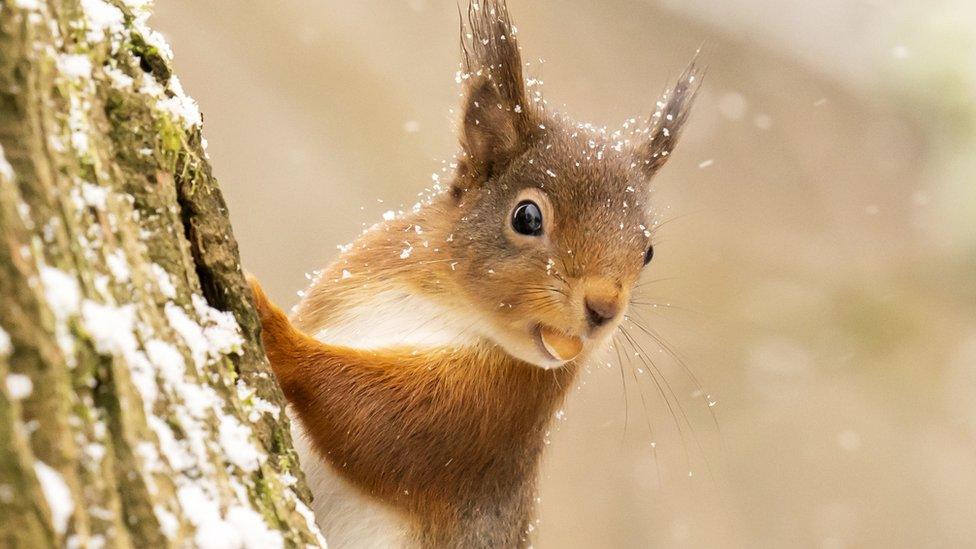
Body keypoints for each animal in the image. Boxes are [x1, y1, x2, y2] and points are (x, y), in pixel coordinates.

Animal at [248, 2, 696, 544]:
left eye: (647, 252)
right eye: (527, 217)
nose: (604, 307)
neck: (446, 304)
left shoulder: (493, 417)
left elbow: (380, 424)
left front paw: (271, 323)